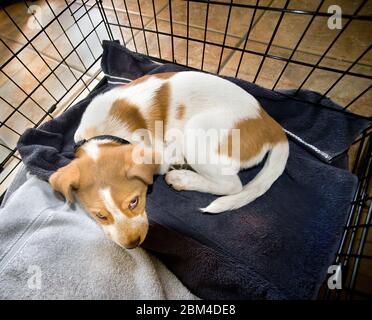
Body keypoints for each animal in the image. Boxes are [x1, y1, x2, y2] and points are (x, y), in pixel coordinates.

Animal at [48, 71, 288, 249]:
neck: (105, 132)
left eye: (134, 202)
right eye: (100, 216)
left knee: (231, 185)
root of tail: (270, 123)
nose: (133, 244)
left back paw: (182, 178)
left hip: (196, 131)